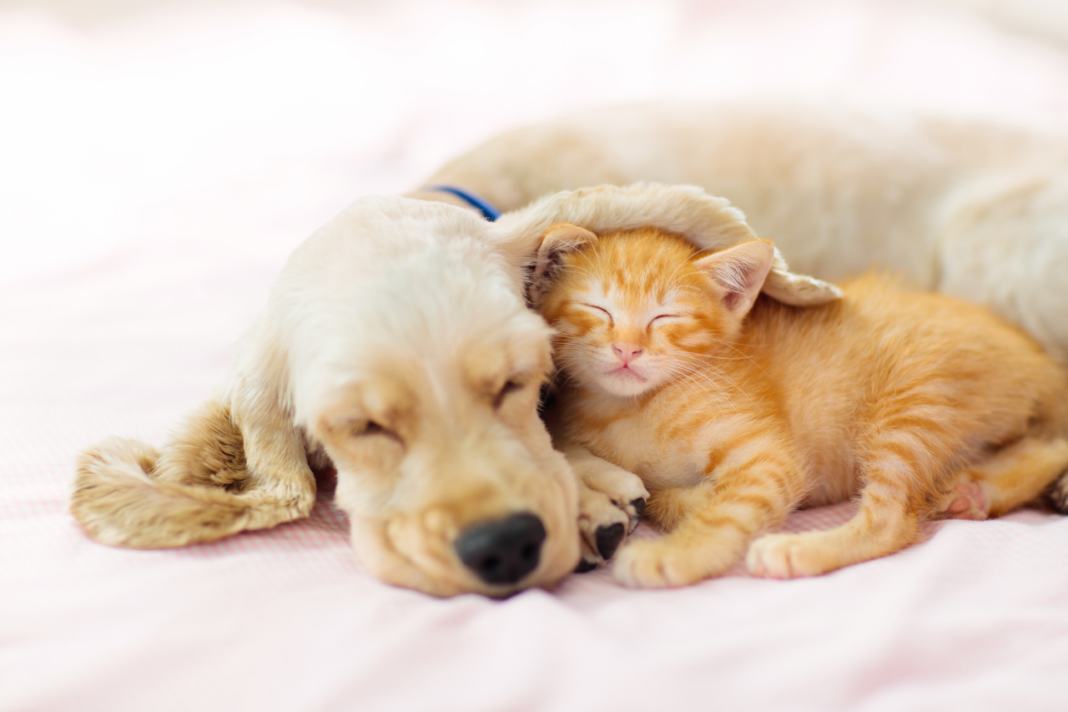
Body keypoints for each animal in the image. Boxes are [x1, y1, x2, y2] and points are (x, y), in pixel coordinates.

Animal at [538, 225, 1068, 589]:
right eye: (598, 309)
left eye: (665, 317)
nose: (627, 349)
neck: (629, 408)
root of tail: (1037, 356)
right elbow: (653, 490)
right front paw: (678, 501)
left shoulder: (772, 456)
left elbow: (732, 506)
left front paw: (676, 554)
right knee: (1048, 445)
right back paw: (973, 490)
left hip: (913, 402)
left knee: (894, 520)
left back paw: (798, 549)